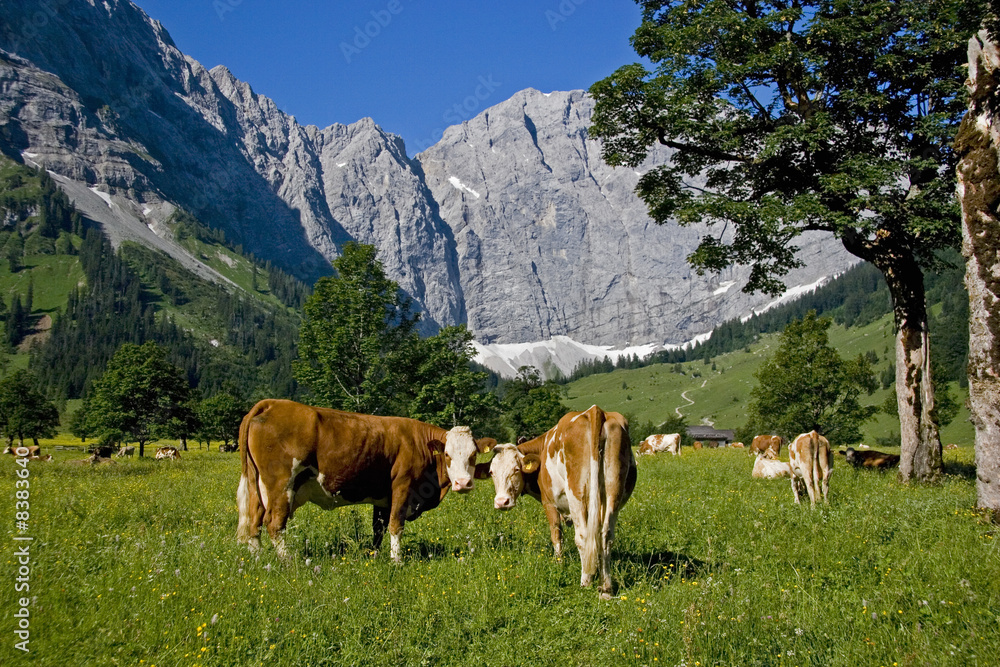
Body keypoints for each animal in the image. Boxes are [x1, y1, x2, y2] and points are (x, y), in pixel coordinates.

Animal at [235, 402, 492, 564]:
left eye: (473, 455)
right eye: (447, 455)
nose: (463, 483)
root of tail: (272, 404)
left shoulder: (383, 498)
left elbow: (378, 529)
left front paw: (375, 556)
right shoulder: (402, 487)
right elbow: (395, 525)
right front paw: (396, 561)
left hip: (259, 488)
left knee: (254, 522)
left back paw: (257, 560)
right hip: (281, 486)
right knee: (274, 524)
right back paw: (288, 562)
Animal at [474, 408, 632, 600]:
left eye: (516, 469)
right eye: (491, 472)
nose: (501, 502)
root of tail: (595, 411)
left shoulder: (549, 503)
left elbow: (556, 535)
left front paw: (559, 564)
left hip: (577, 496)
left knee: (583, 536)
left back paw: (585, 581)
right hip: (613, 494)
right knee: (605, 536)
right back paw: (606, 588)